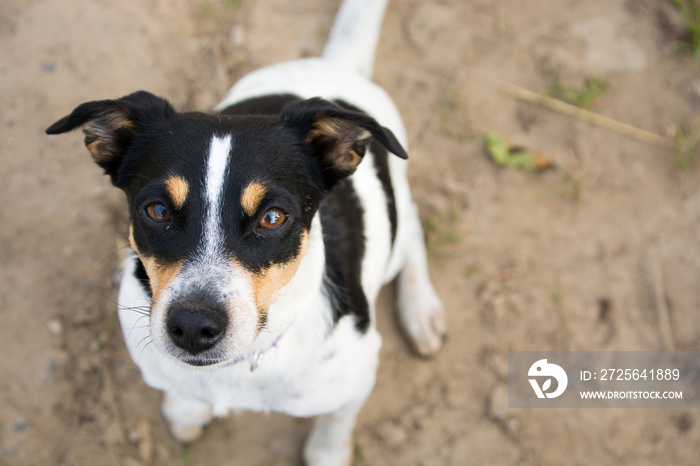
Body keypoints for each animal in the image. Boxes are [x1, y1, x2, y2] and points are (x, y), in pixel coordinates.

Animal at [46, 0, 446, 462]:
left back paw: (421, 310)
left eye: (272, 218)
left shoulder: (356, 375)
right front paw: (186, 408)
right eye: (157, 210)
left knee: (411, 223)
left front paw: (327, 453)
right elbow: (178, 387)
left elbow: (335, 423)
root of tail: (332, 65)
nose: (193, 327)